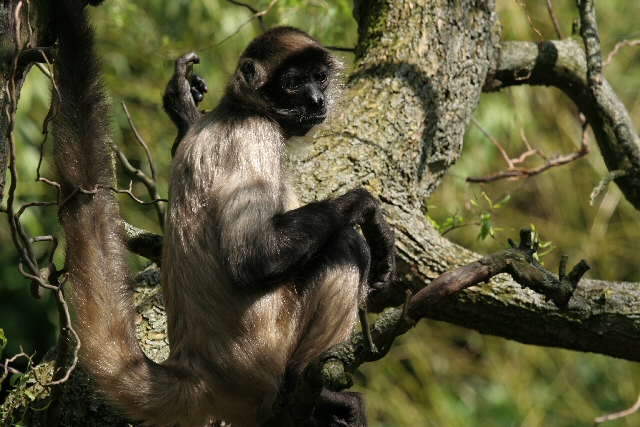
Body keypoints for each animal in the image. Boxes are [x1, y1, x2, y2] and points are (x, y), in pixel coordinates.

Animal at [51, 1, 395, 426]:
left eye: (319, 77)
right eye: (294, 83)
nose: (318, 100)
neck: (237, 107)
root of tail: (197, 373)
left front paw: (183, 107)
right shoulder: (256, 134)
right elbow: (250, 258)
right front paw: (368, 210)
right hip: (267, 351)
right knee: (346, 244)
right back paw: (309, 391)